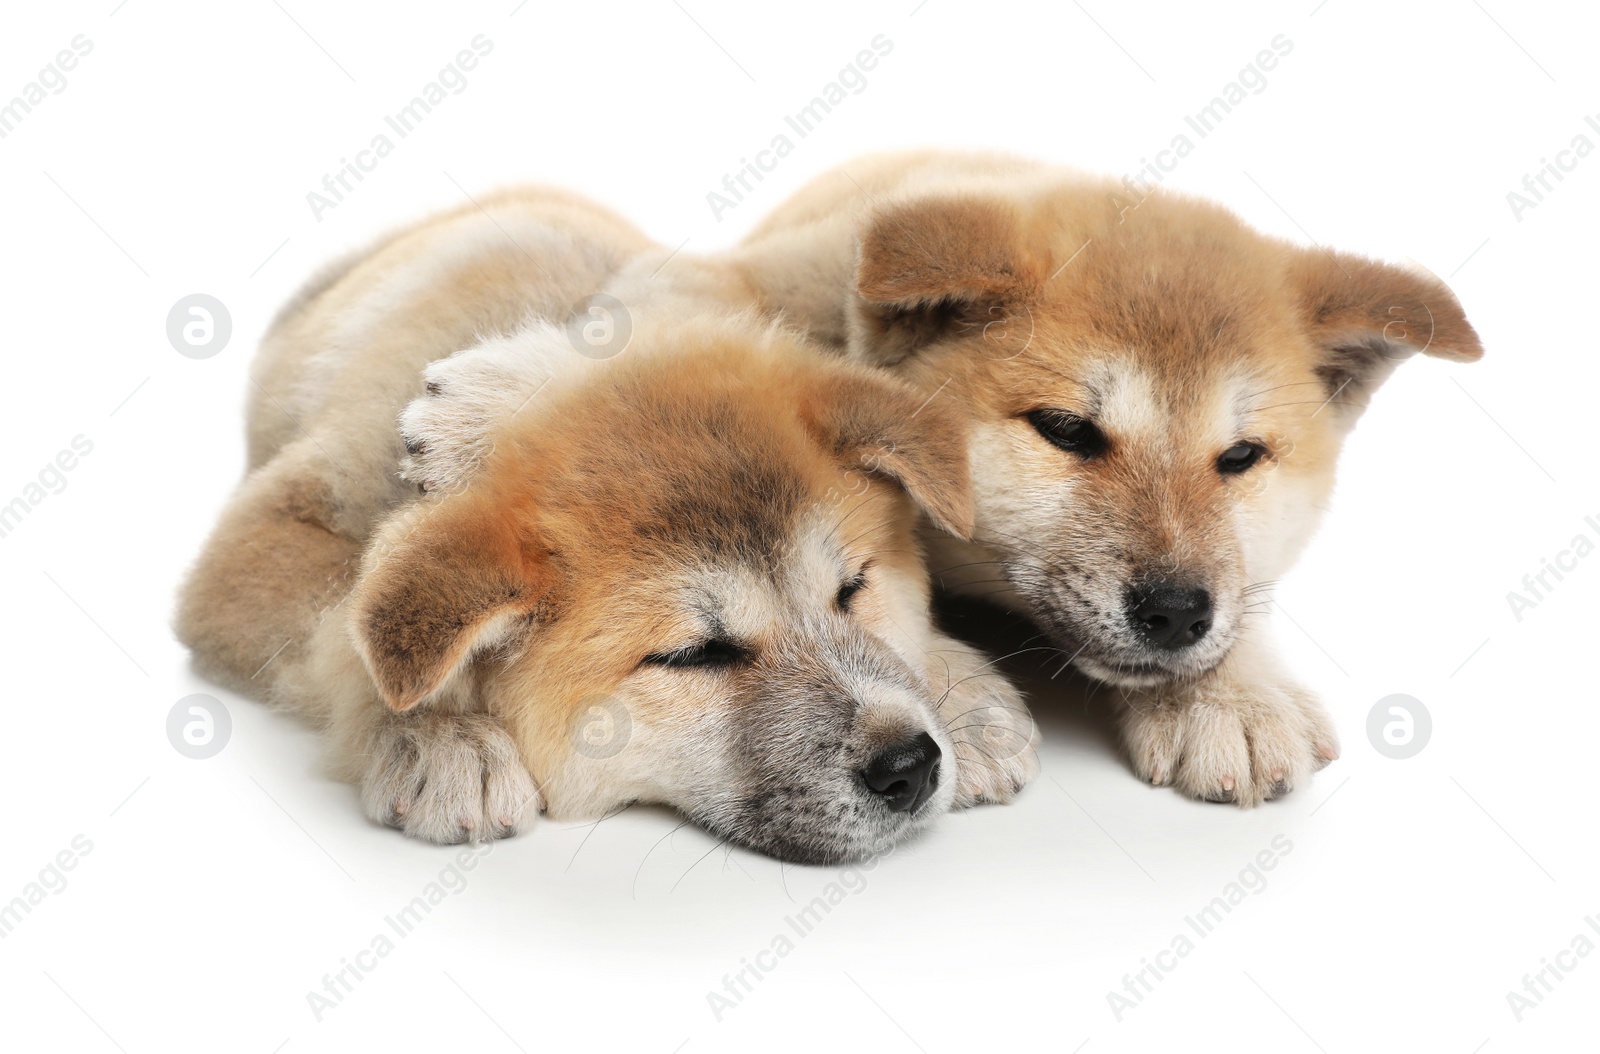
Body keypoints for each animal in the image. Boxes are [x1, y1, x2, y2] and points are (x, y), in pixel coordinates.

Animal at [168, 189, 1030, 863]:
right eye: (693, 655)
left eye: (852, 589)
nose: (909, 762)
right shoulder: (260, 543)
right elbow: (346, 638)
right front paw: (439, 734)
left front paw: (954, 684)